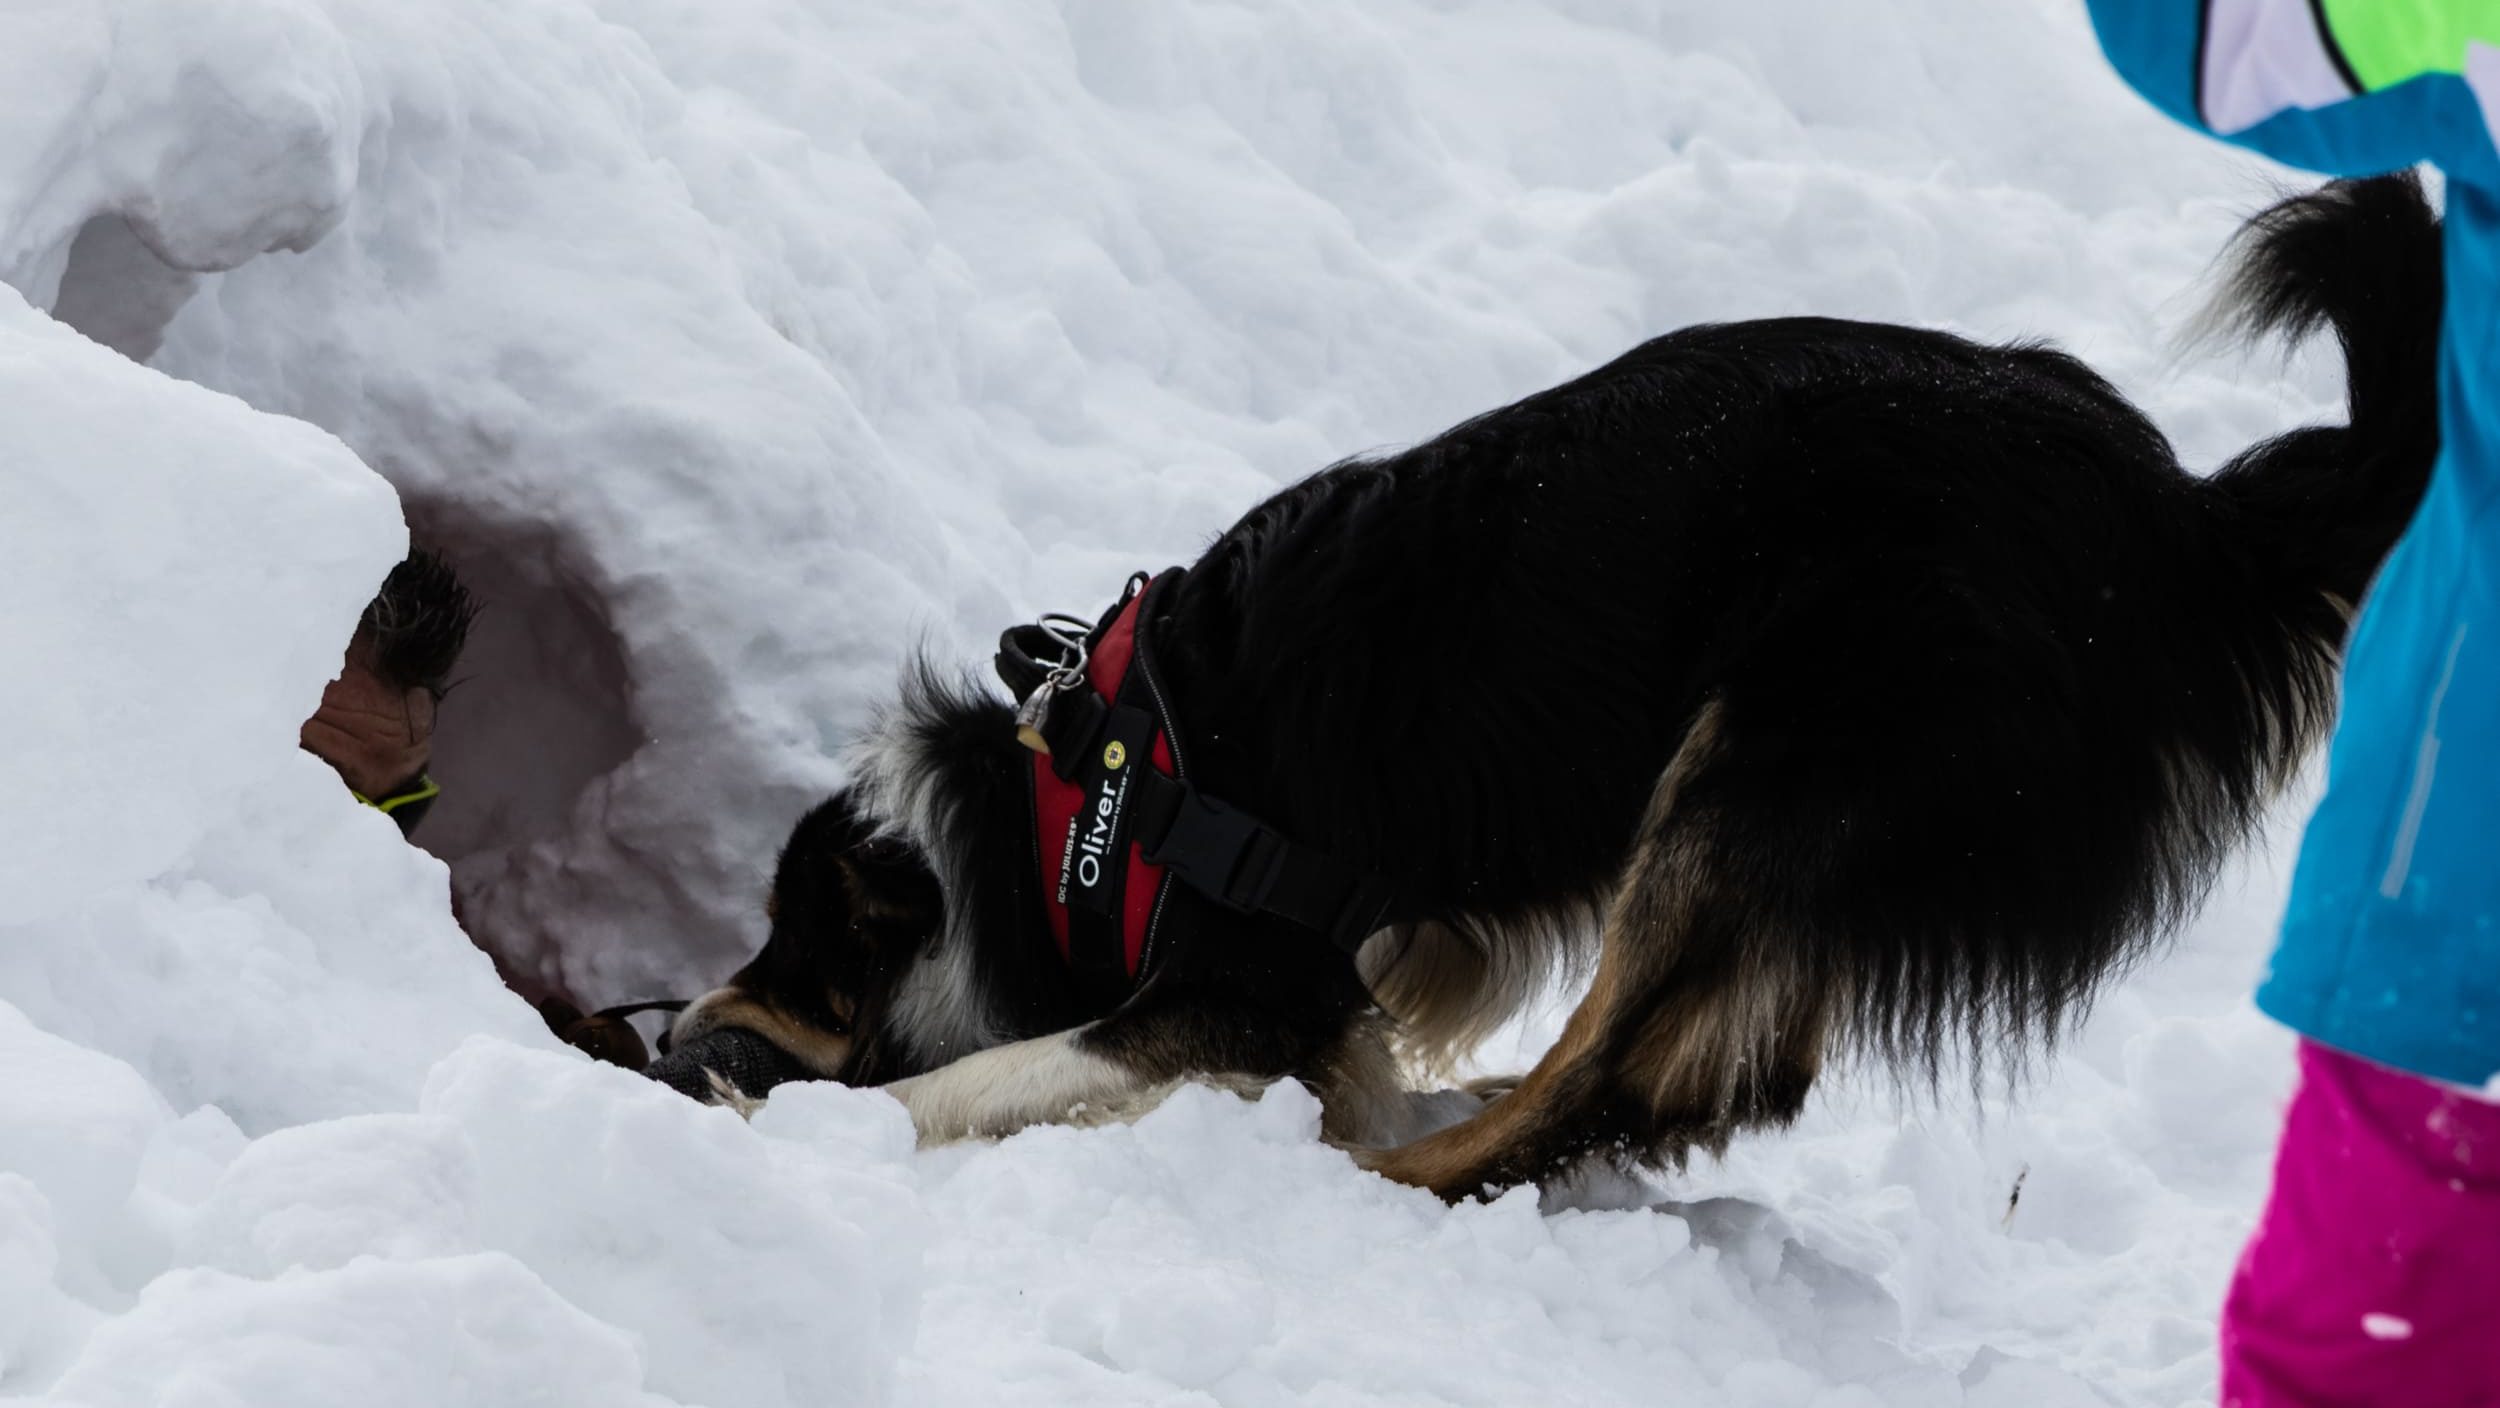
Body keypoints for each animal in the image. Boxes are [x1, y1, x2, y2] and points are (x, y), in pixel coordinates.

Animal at [658, 176, 2443, 1200]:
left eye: (791, 953)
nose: (672, 1032)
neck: (1076, 798)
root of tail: (2186, 521)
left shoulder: (1247, 978)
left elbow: (989, 1073)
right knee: (1711, 1075)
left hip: (1785, 745)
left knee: (1615, 1072)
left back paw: (1402, 1178)